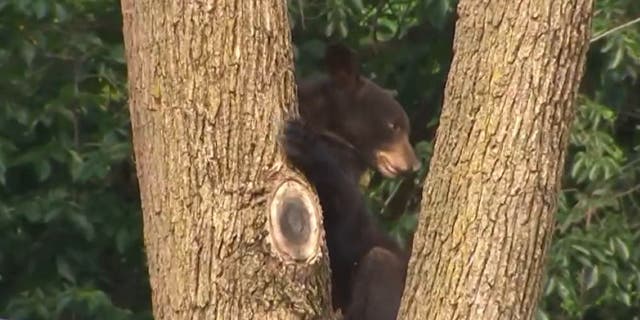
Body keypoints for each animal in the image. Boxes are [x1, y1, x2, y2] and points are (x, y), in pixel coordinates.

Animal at [282, 43, 422, 318]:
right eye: (393, 126)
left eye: (405, 128)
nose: (413, 166)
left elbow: (347, 217)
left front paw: (303, 144)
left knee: (380, 263)